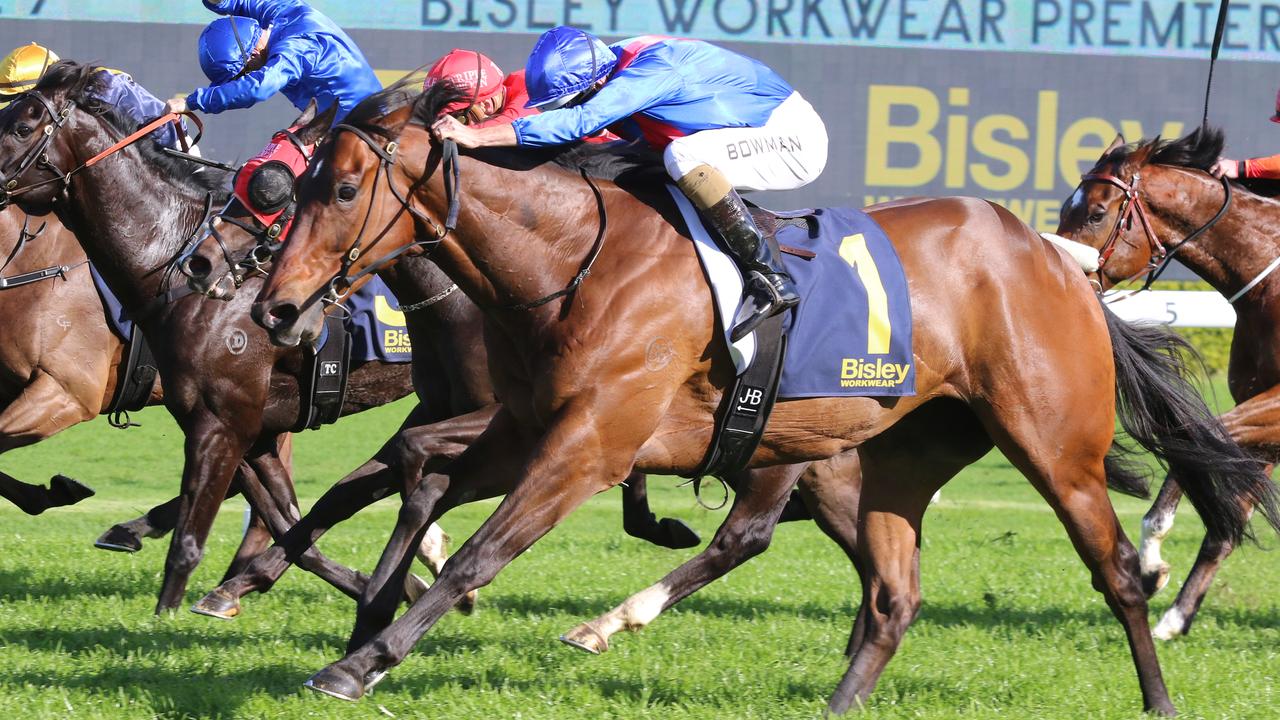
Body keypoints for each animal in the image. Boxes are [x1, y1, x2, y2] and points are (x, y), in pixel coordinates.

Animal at [1054, 126, 1280, 635]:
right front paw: (1171, 608)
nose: (1056, 274)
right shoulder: (1263, 414)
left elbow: (1195, 439)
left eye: (1096, 213)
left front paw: (1151, 568)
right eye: (1063, 209)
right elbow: (1223, 510)